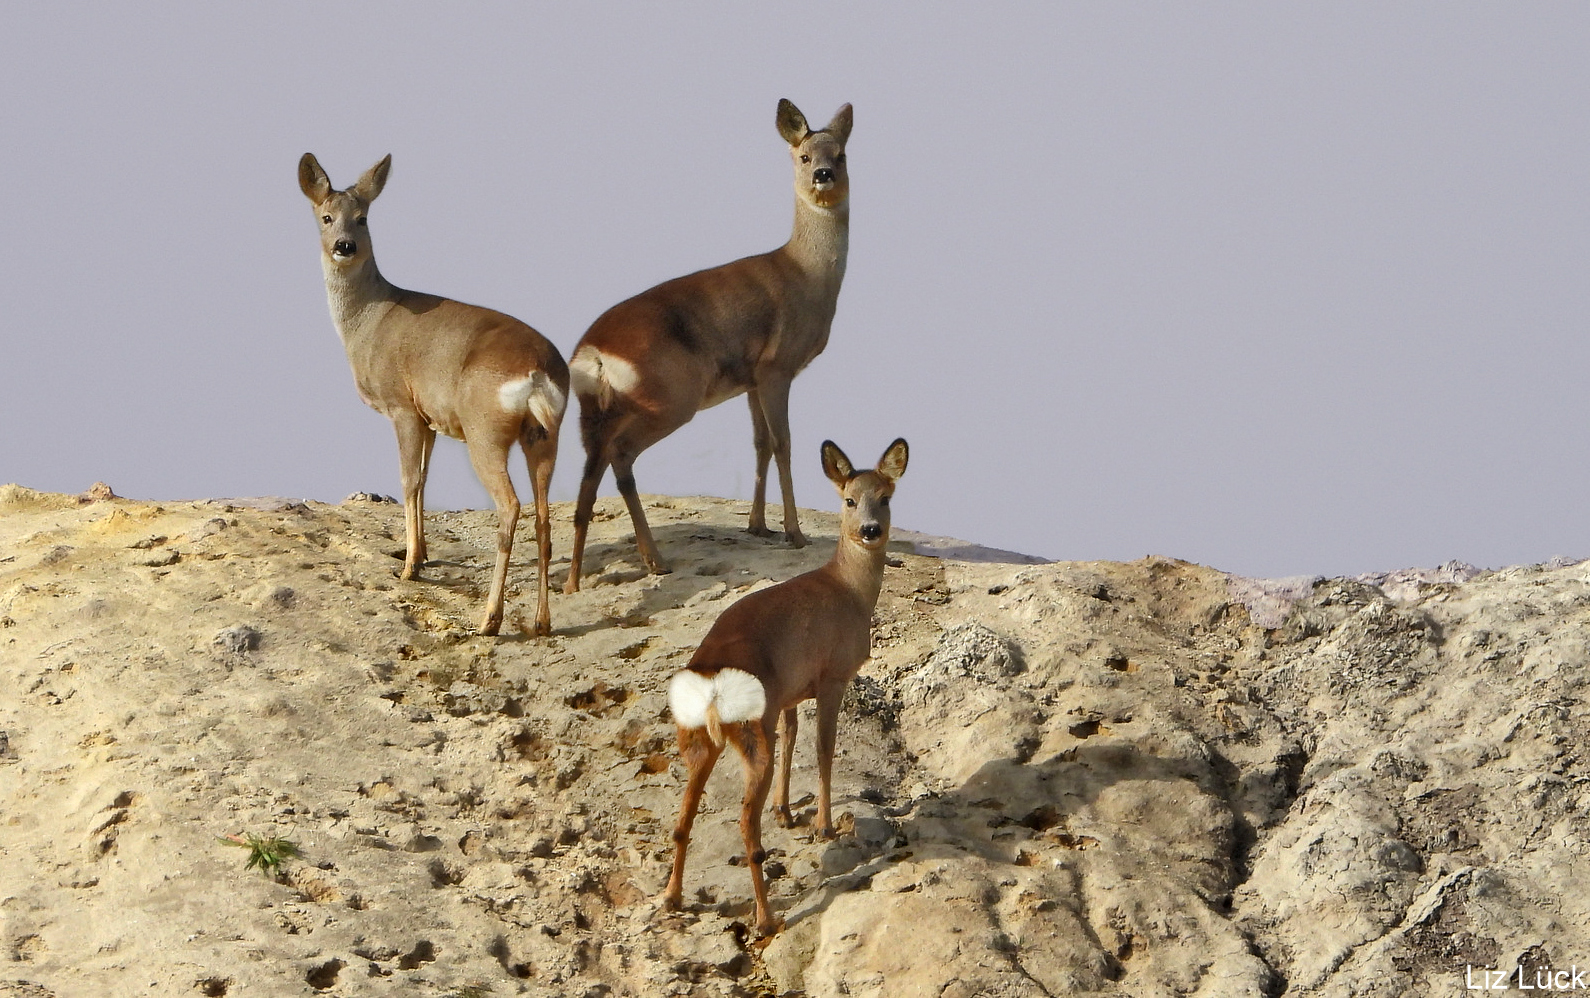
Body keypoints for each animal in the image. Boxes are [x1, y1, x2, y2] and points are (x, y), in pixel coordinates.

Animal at [298, 154, 572, 638]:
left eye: (363, 217)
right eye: (326, 217)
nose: (345, 246)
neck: (369, 320)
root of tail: (538, 372)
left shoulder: (402, 406)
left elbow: (407, 480)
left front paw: (409, 567)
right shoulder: (430, 419)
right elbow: (424, 480)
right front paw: (421, 553)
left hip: (485, 434)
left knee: (510, 507)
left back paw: (490, 619)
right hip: (544, 436)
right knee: (543, 516)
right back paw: (541, 622)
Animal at [562, 97, 852, 587]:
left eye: (842, 154)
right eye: (803, 156)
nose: (824, 175)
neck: (807, 277)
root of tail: (594, 354)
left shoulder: (751, 379)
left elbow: (759, 443)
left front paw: (757, 525)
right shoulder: (776, 367)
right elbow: (784, 443)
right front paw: (794, 533)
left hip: (596, 411)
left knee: (592, 472)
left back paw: (581, 577)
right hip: (672, 397)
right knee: (621, 457)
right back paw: (651, 560)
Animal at [658, 435, 909, 934]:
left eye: (886, 497)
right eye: (849, 500)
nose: (870, 530)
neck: (849, 592)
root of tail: (712, 687)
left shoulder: (792, 692)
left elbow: (794, 739)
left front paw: (788, 811)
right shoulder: (833, 676)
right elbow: (824, 749)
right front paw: (824, 826)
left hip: (698, 739)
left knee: (682, 819)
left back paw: (672, 898)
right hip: (752, 732)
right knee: (744, 824)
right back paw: (766, 918)